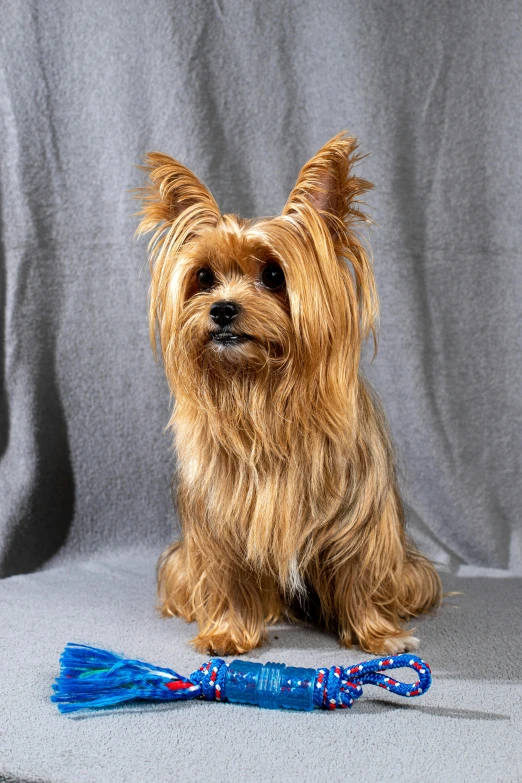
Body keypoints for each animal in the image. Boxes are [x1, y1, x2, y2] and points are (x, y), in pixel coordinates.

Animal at [135, 133, 438, 656]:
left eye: (274, 276)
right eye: (204, 277)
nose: (222, 309)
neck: (262, 392)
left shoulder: (357, 519)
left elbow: (358, 572)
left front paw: (377, 633)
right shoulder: (223, 524)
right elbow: (231, 578)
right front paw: (227, 632)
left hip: (411, 572)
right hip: (181, 564)